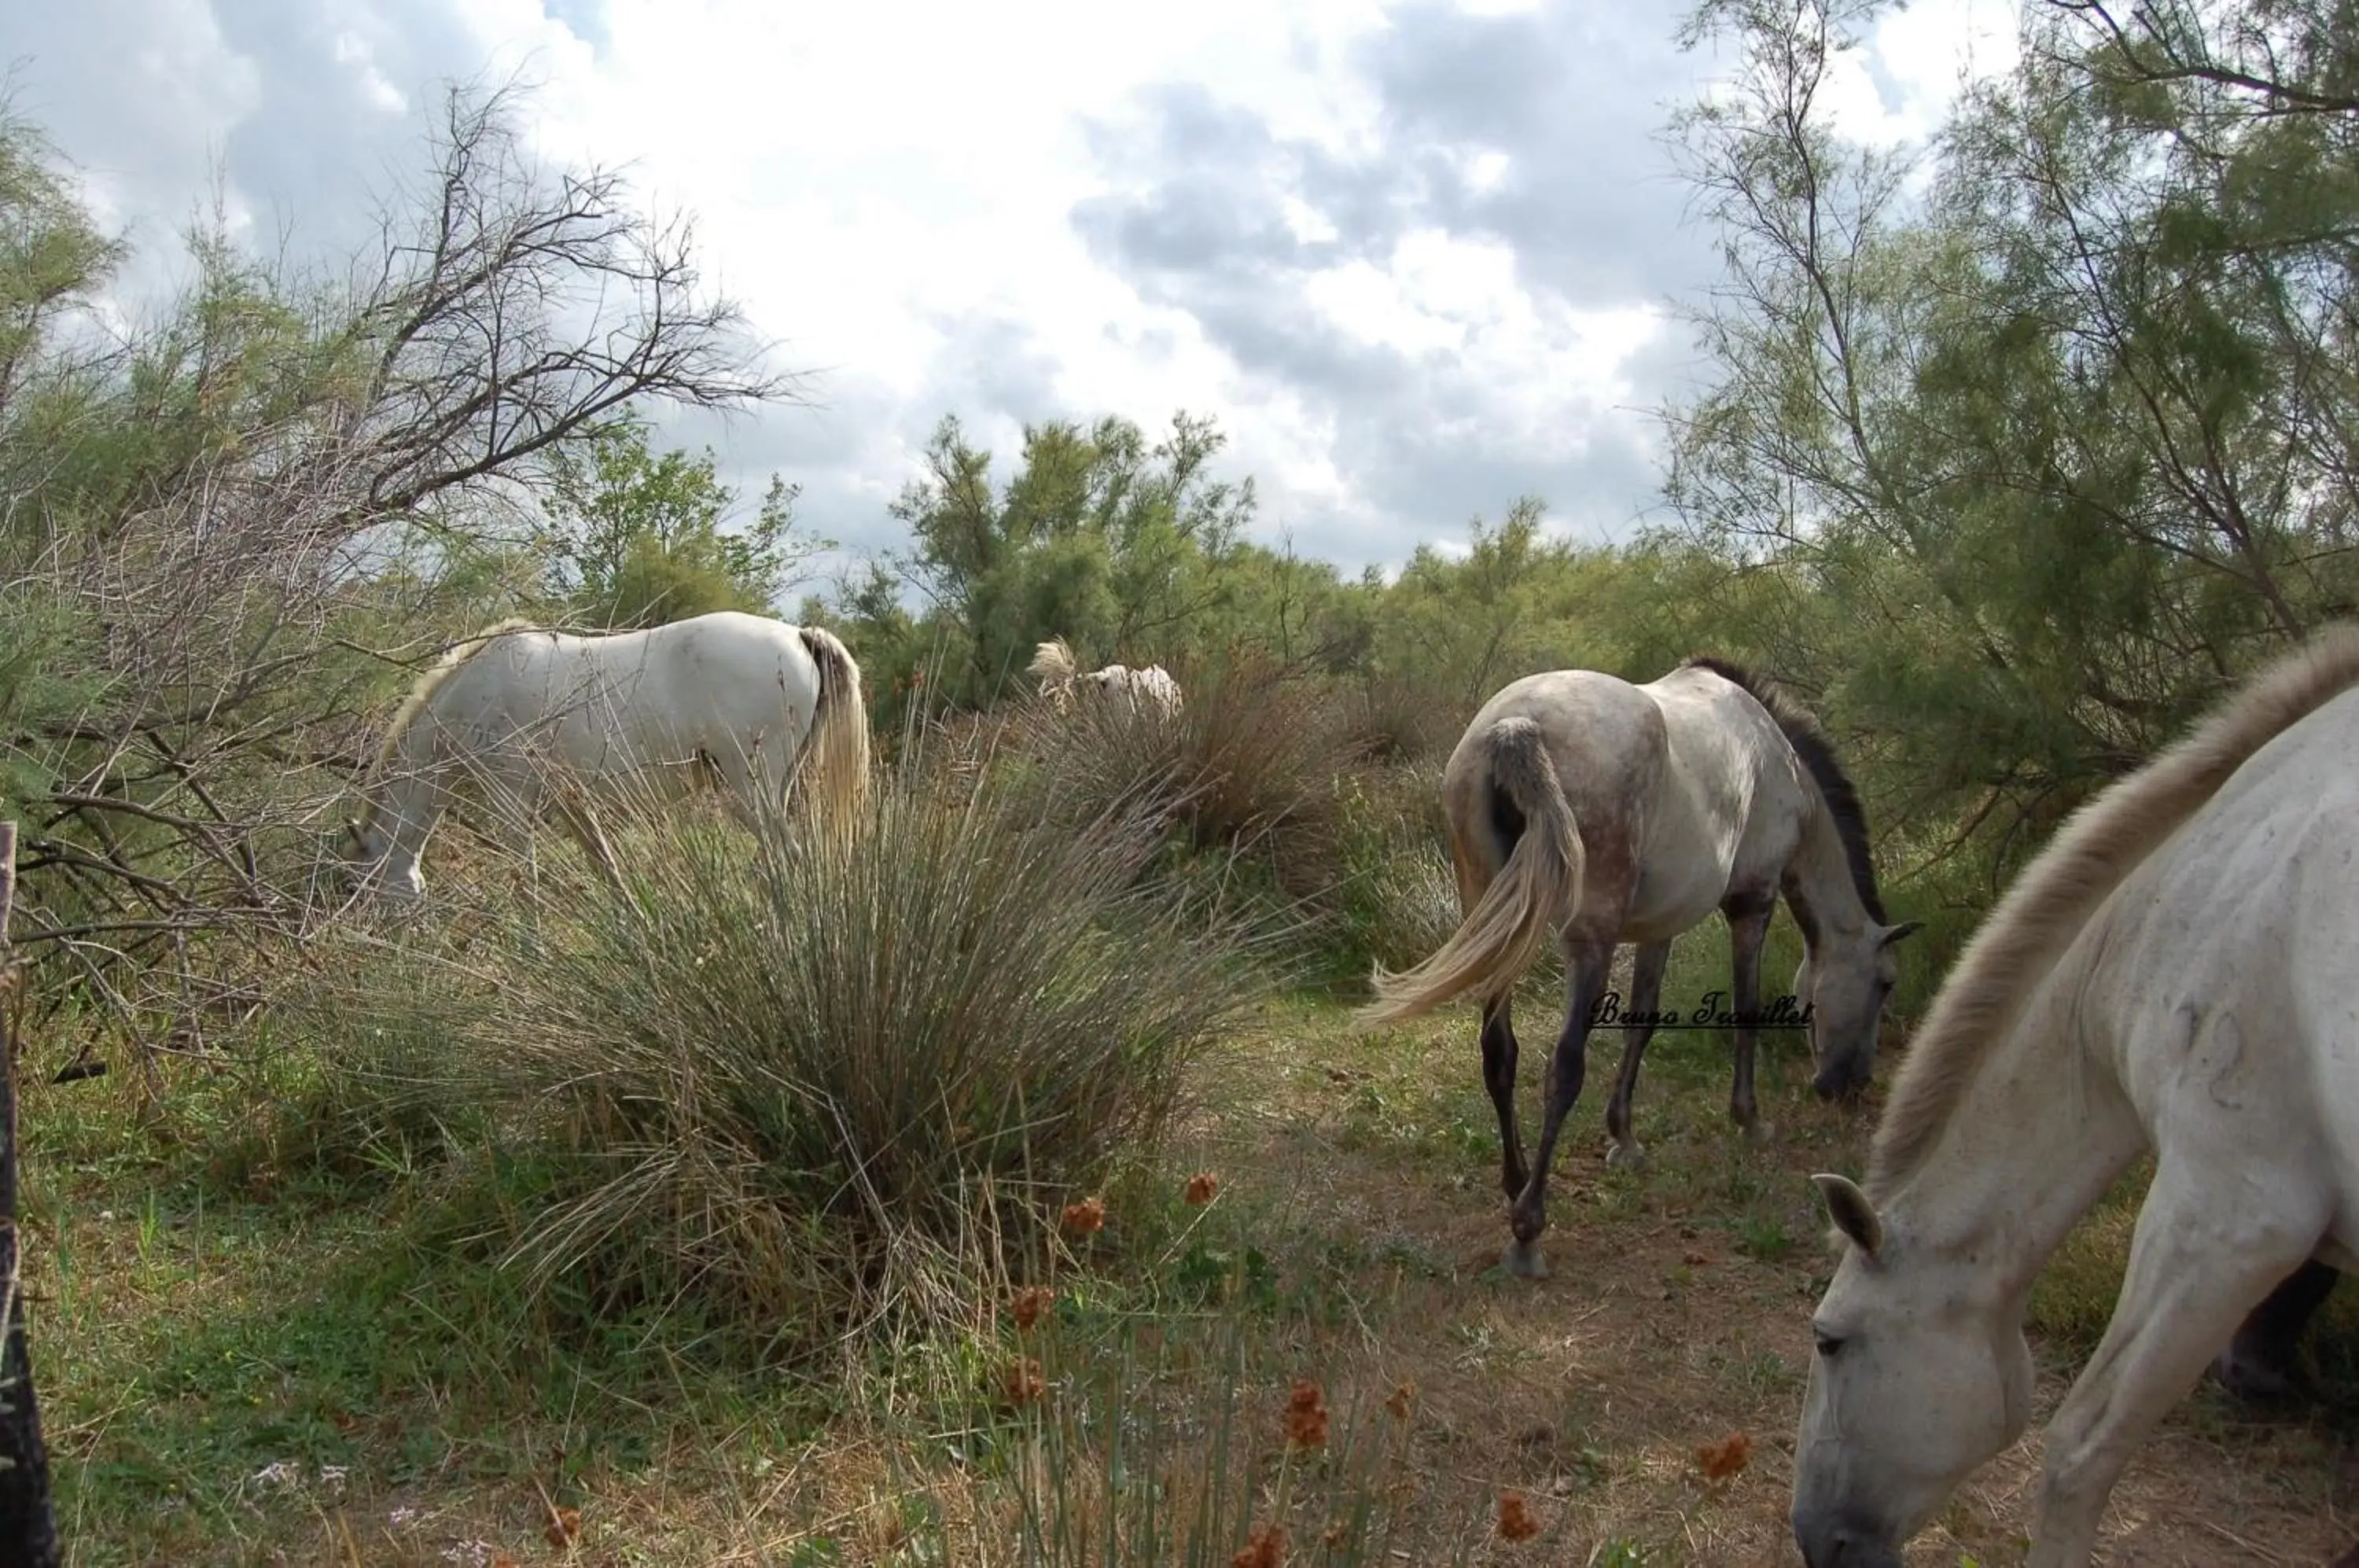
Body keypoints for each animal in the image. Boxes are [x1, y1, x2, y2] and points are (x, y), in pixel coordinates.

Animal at [344, 613, 873, 905]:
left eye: (358, 886)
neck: (478, 691)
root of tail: (799, 636)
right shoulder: (573, 804)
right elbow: (609, 870)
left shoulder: (511, 804)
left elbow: (526, 880)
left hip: (751, 790)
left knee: (787, 860)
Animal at [1368, 655, 1916, 1283]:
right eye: (1886, 983)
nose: (1853, 1084)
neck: (1780, 764)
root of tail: (1516, 727)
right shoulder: (1753, 903)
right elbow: (1746, 1010)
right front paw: (1749, 1119)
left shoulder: (1660, 926)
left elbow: (1643, 1020)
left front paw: (1624, 1138)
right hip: (1589, 939)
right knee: (1563, 1068)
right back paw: (1529, 1229)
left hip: (1494, 921)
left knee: (1499, 1054)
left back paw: (1517, 1181)